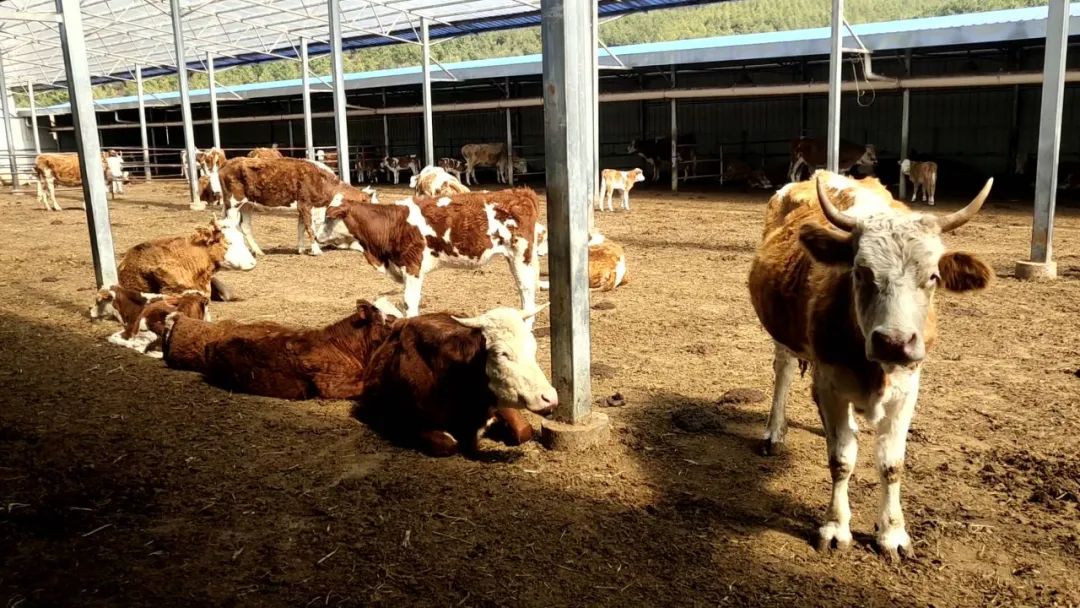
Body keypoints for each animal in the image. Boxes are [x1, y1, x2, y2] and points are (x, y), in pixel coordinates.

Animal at [216, 156, 374, 256]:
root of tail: (227, 163)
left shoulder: (302, 208)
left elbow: (301, 227)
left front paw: (301, 249)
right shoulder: (305, 205)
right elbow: (310, 228)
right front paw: (316, 250)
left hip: (247, 205)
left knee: (245, 227)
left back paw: (258, 251)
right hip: (234, 203)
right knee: (231, 225)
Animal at [315, 188, 542, 321]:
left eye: (328, 217)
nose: (316, 237)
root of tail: (520, 192)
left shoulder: (412, 266)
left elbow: (409, 302)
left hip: (521, 255)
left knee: (526, 291)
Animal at [354, 306, 556, 456]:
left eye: (533, 347)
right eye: (502, 353)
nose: (549, 398)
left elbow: (524, 431)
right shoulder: (405, 423)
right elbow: (449, 444)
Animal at [747, 170, 993, 561]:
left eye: (933, 276)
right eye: (861, 272)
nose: (894, 342)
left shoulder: (908, 389)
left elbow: (891, 464)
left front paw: (892, 532)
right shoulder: (830, 385)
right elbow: (841, 459)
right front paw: (835, 527)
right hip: (782, 335)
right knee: (782, 371)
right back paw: (774, 431)